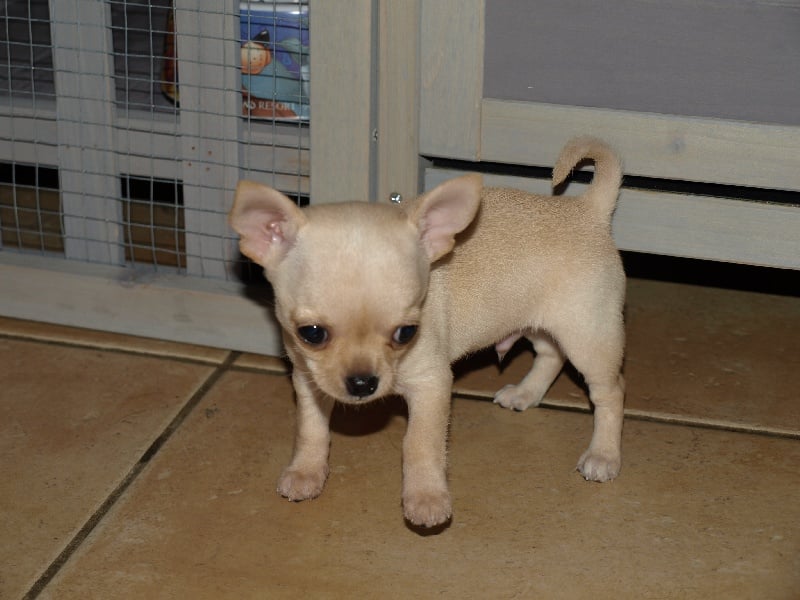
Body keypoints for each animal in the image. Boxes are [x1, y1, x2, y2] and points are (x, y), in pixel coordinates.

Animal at [229, 136, 626, 528]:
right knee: (550, 354)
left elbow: (419, 444)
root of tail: (588, 209)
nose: (363, 384)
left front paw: (426, 498)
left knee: (611, 392)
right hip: (540, 321)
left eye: (406, 333)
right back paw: (526, 393)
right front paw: (306, 472)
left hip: (588, 334)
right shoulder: (308, 378)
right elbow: (311, 428)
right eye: (311, 334)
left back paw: (604, 455)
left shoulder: (432, 385)